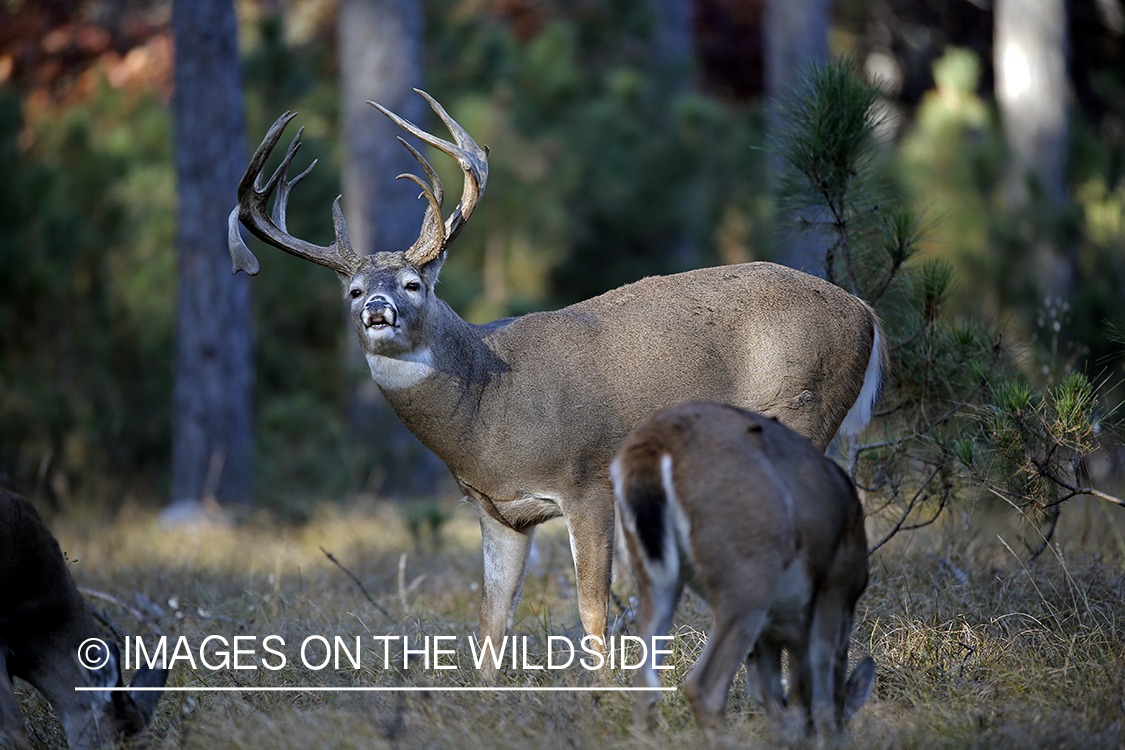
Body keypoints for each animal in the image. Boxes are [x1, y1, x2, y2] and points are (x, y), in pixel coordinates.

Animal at [223, 89, 882, 674]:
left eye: (414, 283)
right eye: (354, 291)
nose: (377, 310)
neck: (488, 403)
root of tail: (866, 311)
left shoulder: (587, 479)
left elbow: (592, 609)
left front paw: (606, 696)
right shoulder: (498, 511)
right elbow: (490, 622)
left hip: (804, 409)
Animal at [612, 402, 873, 737]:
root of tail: (656, 440)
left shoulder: (772, 631)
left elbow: (777, 697)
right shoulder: (836, 585)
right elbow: (820, 691)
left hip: (654, 575)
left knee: (646, 681)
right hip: (749, 574)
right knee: (704, 687)